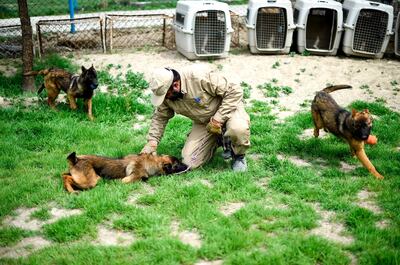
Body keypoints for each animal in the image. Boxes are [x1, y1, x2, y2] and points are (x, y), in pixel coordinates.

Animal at [61, 152, 189, 193]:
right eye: (178, 164)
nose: (188, 166)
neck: (153, 162)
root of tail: (77, 159)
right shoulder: (128, 179)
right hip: (91, 181)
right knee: (66, 177)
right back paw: (71, 191)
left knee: (64, 175)